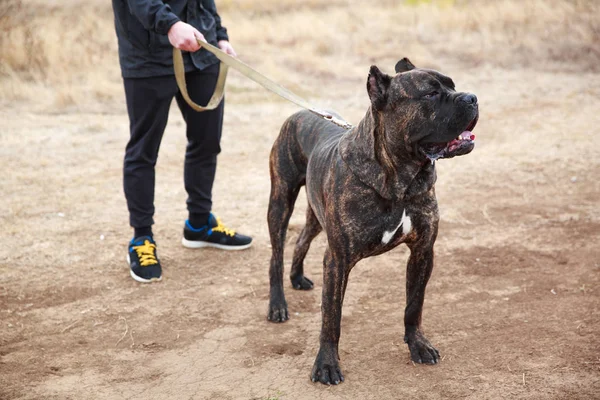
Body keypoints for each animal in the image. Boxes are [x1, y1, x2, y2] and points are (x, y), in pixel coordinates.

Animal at [268, 57, 478, 386]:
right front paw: (326, 364)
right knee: (276, 254)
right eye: (431, 94)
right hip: (280, 201)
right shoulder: (337, 260)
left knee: (302, 238)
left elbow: (414, 305)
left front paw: (418, 345)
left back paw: (297, 277)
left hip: (316, 214)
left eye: (453, 85)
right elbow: (331, 317)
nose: (472, 98)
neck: (402, 179)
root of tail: (300, 113)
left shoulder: (423, 251)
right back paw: (277, 304)